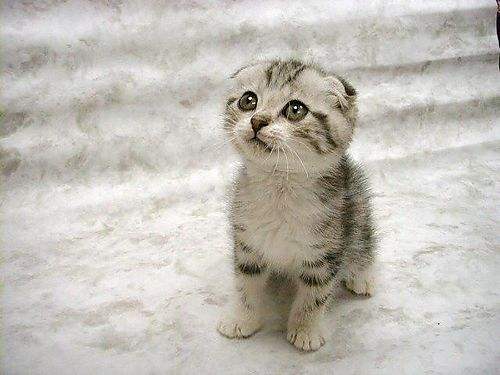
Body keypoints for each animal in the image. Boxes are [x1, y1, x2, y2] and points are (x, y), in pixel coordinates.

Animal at [217, 58, 376, 352]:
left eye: (295, 109)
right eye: (248, 100)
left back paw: (362, 277)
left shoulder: (326, 253)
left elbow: (314, 297)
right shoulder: (247, 244)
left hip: (357, 210)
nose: (257, 121)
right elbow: (245, 286)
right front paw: (242, 319)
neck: (280, 187)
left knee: (363, 244)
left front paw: (305, 330)